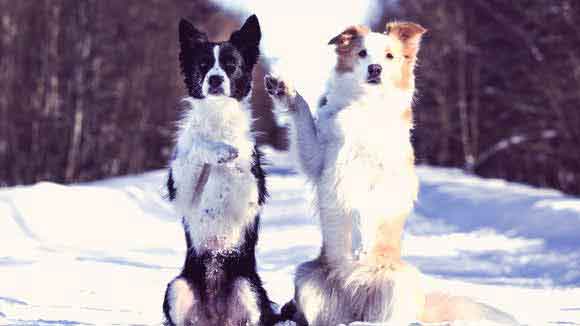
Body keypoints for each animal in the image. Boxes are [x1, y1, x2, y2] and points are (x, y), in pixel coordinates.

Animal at [162, 15, 280, 326]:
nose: (215, 79)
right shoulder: (182, 189)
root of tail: (215, 317)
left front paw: (229, 152)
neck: (217, 117)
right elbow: (195, 150)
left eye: (231, 65)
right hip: (177, 288)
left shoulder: (251, 191)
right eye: (204, 64)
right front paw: (218, 151)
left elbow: (239, 171)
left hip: (248, 288)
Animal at [262, 21, 516, 324]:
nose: (375, 69)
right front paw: (284, 90)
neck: (365, 107)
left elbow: (364, 209)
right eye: (362, 53)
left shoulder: (386, 180)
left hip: (401, 282)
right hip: (306, 277)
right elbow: (302, 113)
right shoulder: (318, 159)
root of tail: (354, 297)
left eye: (389, 56)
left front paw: (361, 241)